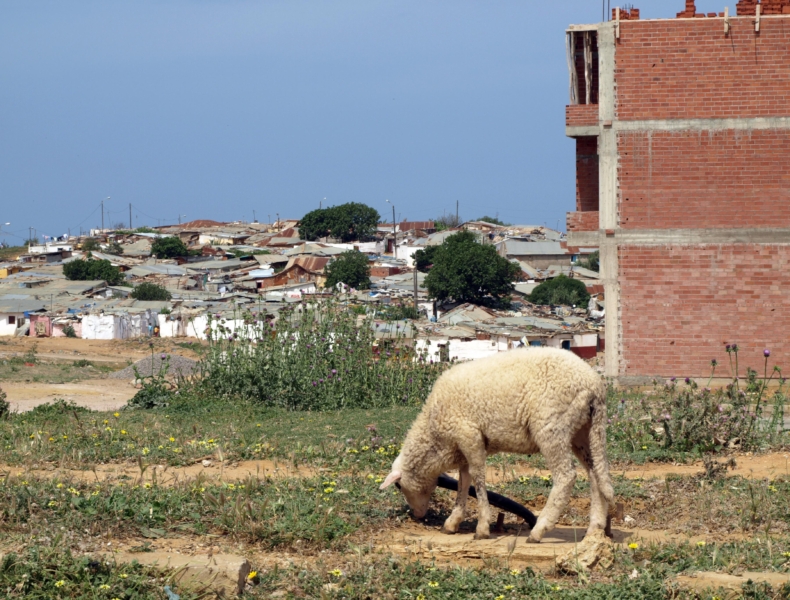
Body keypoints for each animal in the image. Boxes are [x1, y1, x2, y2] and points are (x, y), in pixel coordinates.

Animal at [380, 344, 616, 540]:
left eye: (399, 485)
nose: (417, 516)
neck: (434, 434)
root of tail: (593, 385)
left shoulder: (469, 435)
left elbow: (477, 477)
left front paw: (482, 527)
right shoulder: (463, 445)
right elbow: (463, 481)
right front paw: (453, 522)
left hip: (551, 426)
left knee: (566, 476)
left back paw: (539, 529)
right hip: (584, 432)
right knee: (595, 474)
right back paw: (594, 527)